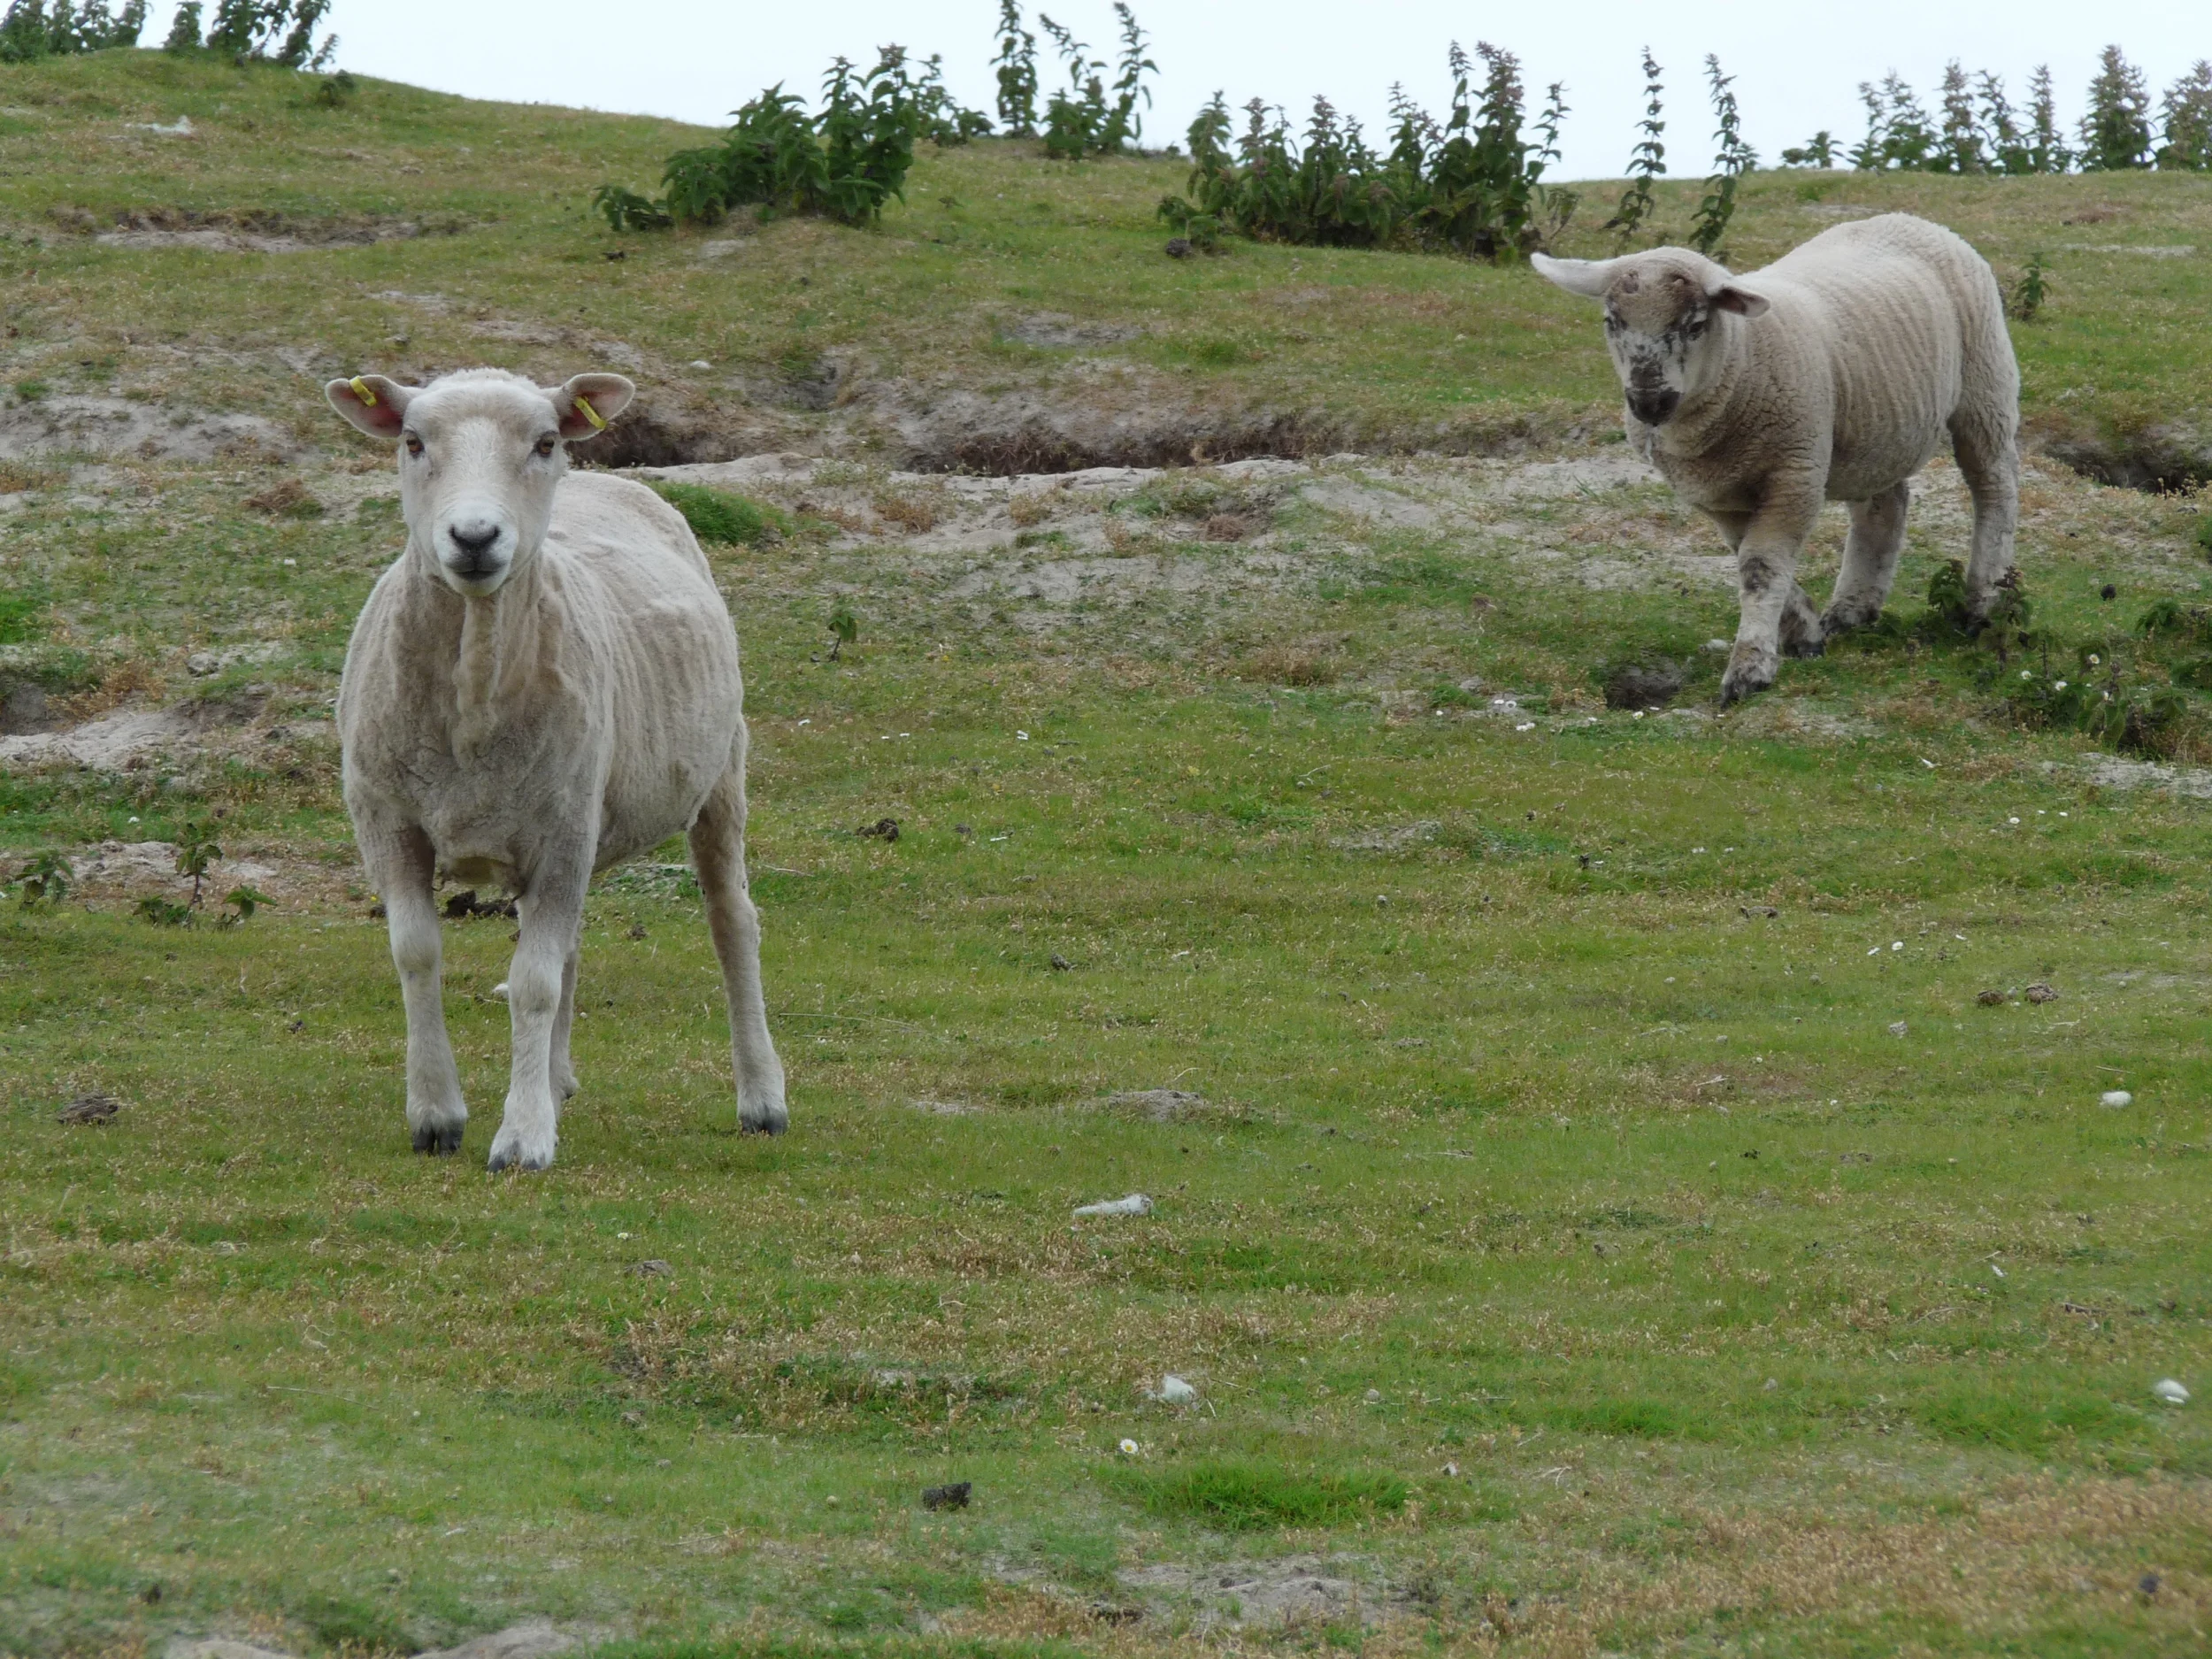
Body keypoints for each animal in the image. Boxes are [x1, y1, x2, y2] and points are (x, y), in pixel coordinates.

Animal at [326, 367, 786, 1171]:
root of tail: (605, 478)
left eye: (544, 442)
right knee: (570, 940)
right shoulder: (389, 824)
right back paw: (557, 1076)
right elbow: (417, 954)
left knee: (733, 921)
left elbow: (532, 983)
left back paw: (761, 1096)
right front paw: (436, 1113)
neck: (471, 704)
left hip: (718, 774)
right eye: (412, 441)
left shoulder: (562, 833)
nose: (475, 536)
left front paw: (522, 1136)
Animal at [1533, 213, 2020, 703]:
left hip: (1985, 383)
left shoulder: (1794, 474)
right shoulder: (1719, 494)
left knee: (1994, 486)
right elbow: (1746, 558)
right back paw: (1852, 609)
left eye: (1696, 324)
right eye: (1611, 321)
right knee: (1884, 504)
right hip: (1873, 423)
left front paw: (1749, 668)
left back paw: (1982, 603)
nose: (1649, 402)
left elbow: (1761, 567)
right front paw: (1803, 633)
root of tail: (1908, 219)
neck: (1741, 357)